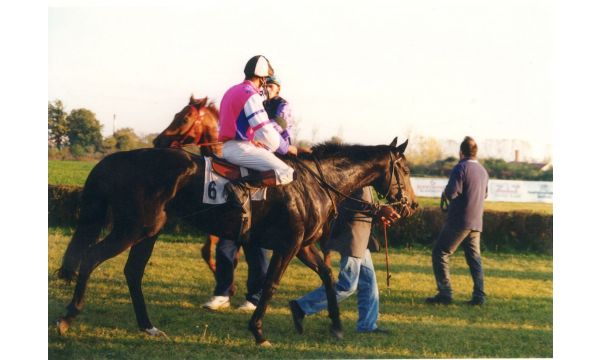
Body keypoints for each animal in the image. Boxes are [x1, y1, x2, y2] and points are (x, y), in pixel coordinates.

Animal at [58, 138, 420, 346]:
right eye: (404, 168)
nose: (412, 205)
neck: (316, 182)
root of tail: (114, 160)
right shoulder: (288, 245)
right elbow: (271, 284)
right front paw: (258, 331)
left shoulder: (303, 246)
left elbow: (328, 276)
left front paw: (334, 325)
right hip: (133, 228)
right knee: (91, 258)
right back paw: (68, 316)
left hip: (150, 231)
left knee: (133, 272)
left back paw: (148, 327)